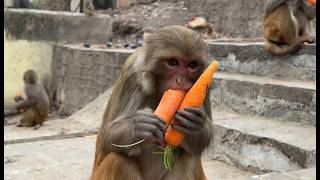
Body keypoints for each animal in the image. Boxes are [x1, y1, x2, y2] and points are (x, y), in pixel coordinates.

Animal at [91, 25, 214, 180]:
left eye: (192, 65)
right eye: (173, 62)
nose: (181, 81)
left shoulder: (206, 81)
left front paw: (194, 124)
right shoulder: (131, 73)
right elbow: (104, 139)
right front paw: (137, 126)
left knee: (190, 157)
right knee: (118, 160)